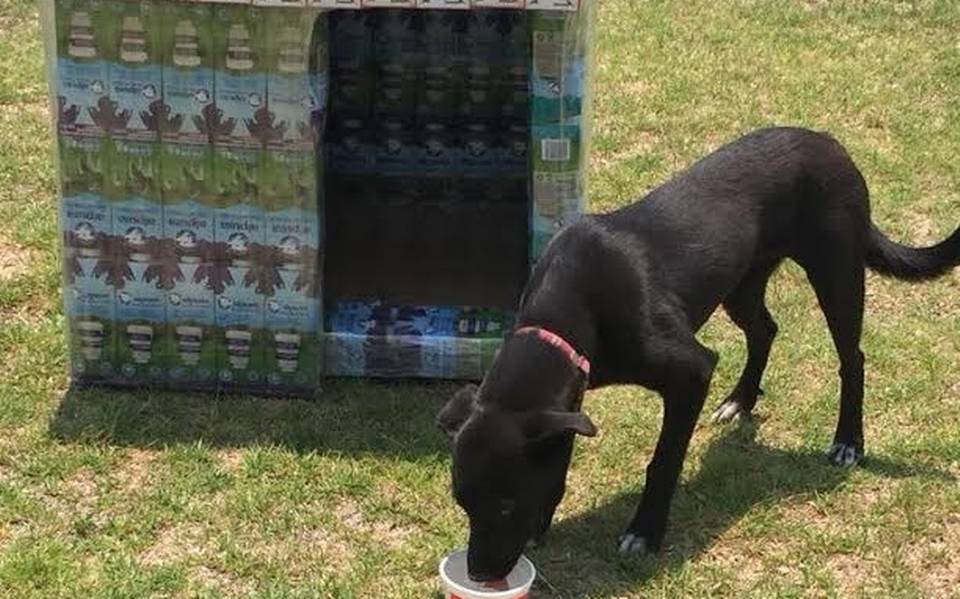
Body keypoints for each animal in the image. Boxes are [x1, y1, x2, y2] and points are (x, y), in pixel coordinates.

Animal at [436, 126, 960, 580]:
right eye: (463, 502)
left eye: (506, 504)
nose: (478, 575)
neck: (562, 316)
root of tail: (829, 142)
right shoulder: (572, 396)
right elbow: (560, 456)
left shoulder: (689, 372)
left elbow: (663, 460)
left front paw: (644, 534)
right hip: (742, 282)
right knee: (766, 330)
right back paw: (740, 401)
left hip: (837, 269)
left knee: (852, 359)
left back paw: (848, 441)